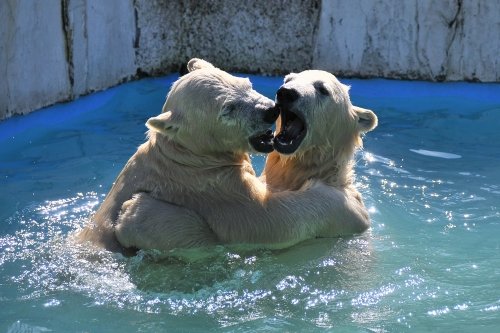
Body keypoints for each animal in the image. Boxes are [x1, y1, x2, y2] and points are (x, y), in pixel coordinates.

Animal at [99, 59, 370, 252]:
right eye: (228, 109)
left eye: (246, 84)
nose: (272, 107)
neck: (187, 156)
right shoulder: (216, 191)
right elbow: (271, 220)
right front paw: (346, 201)